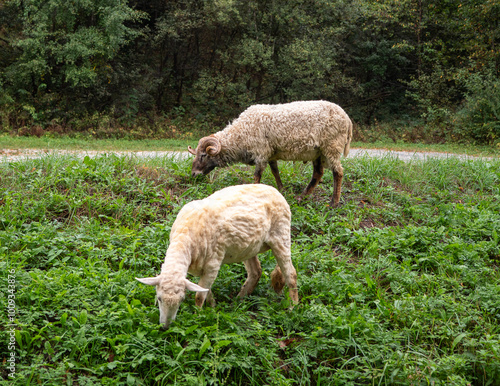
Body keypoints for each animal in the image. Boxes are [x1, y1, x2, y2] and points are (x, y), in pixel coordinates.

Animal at [136, 184, 296, 328]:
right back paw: (239, 300)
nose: (166, 327)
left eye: (182, 300)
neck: (185, 237)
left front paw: (198, 317)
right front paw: (212, 307)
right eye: (159, 298)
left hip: (281, 234)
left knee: (291, 274)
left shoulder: (213, 264)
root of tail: (275, 190)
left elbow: (199, 296)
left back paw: (293, 308)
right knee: (256, 272)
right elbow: (205, 290)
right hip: (250, 246)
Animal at [189, 101, 354, 207]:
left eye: (203, 155)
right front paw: (281, 189)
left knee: (338, 173)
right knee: (318, 173)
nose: (194, 174)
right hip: (318, 153)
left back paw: (334, 203)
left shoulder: (261, 152)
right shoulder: (270, 154)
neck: (240, 135)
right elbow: (275, 171)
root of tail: (347, 118)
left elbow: (257, 175)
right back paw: (302, 197)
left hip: (331, 147)